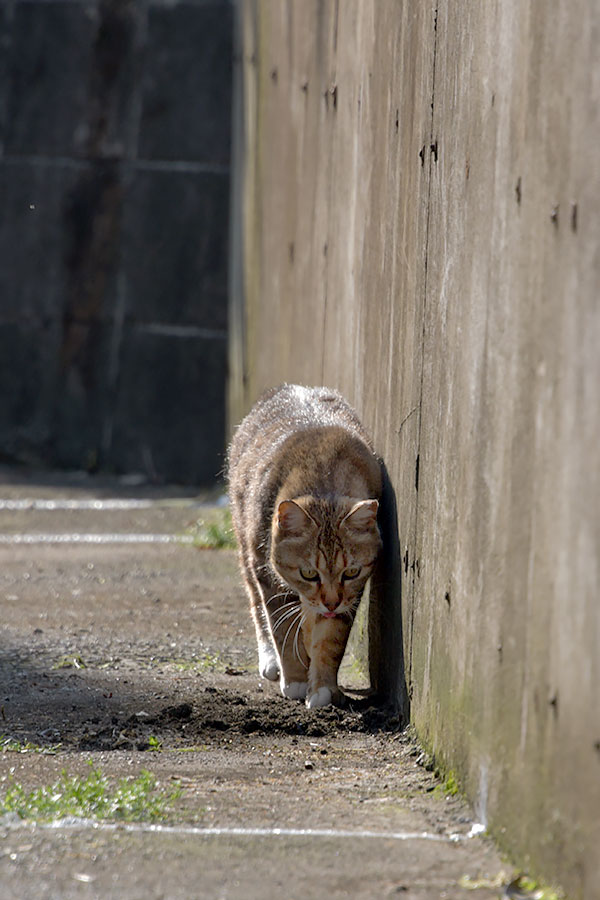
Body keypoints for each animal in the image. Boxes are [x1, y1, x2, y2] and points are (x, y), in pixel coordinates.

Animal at [227, 384, 382, 708]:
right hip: (246, 544)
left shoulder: (351, 594)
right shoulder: (268, 574)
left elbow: (331, 638)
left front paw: (322, 687)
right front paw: (297, 680)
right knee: (258, 606)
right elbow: (282, 629)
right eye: (309, 573)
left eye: (351, 572)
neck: (324, 475)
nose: (331, 603)